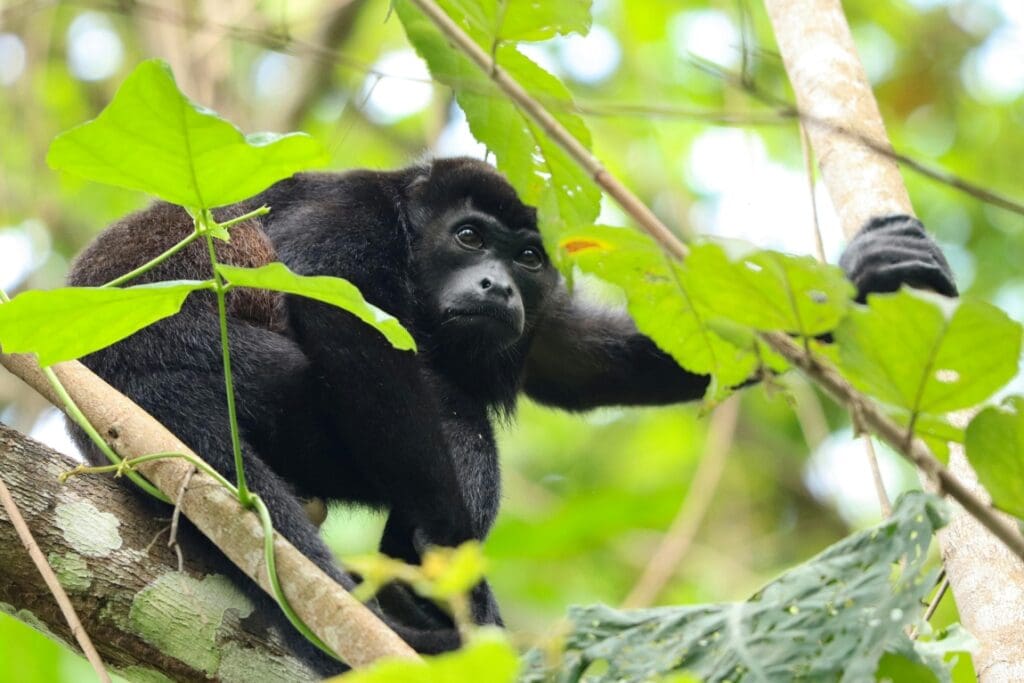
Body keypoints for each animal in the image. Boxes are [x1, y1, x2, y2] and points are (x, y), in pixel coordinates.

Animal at [65, 157, 956, 674]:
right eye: (469, 238)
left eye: (526, 257)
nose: (497, 285)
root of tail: (113, 389)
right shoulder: (347, 215)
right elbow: (346, 324)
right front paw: (458, 574)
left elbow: (577, 360)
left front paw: (855, 284)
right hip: (227, 374)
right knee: (449, 413)